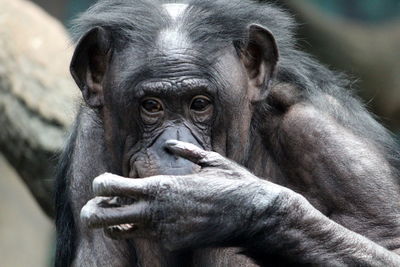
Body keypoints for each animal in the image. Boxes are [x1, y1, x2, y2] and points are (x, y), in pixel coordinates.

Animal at [54, 0, 400, 267]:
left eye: (199, 103)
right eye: (152, 105)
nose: (171, 147)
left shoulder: (331, 141)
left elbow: (389, 243)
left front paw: (215, 202)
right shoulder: (87, 148)